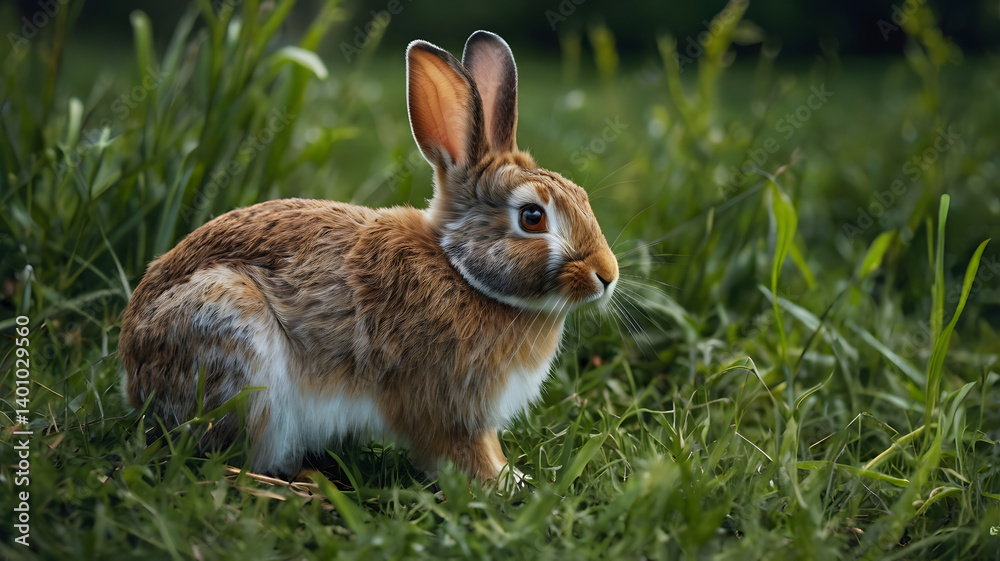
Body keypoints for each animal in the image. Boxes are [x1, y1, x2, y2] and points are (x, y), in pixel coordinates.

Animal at [118, 30, 619, 484]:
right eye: (532, 217)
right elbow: (462, 452)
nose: (607, 275)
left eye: (582, 196)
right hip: (232, 339)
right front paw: (504, 484)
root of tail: (134, 378)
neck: (461, 272)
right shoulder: (445, 407)